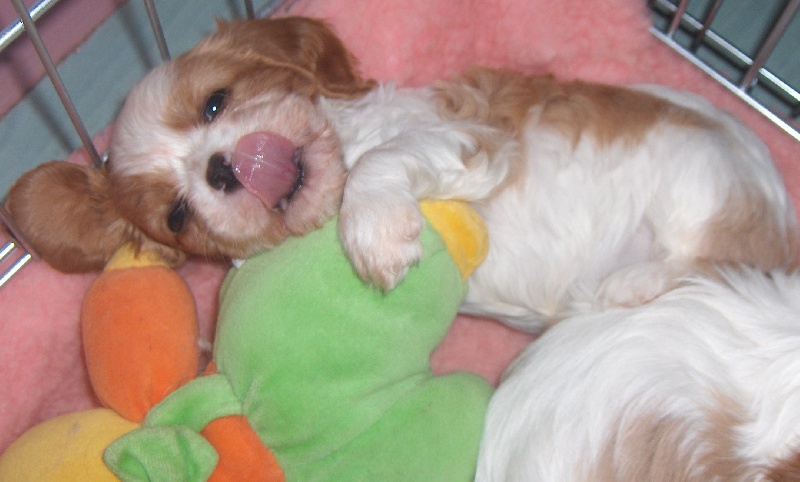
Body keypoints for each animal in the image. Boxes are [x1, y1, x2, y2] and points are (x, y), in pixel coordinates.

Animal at [6, 16, 799, 332]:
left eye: (216, 102)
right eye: (176, 215)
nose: (221, 165)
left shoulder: (465, 134)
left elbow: (383, 163)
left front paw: (376, 232)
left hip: (705, 184)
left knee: (718, 266)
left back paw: (626, 286)